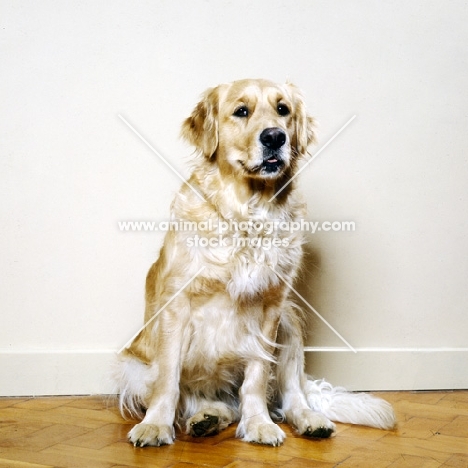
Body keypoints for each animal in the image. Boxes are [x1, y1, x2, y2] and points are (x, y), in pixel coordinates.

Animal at [116, 79, 394, 446]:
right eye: (241, 111)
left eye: (283, 109)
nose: (275, 137)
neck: (248, 214)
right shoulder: (177, 305)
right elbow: (168, 380)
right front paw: (156, 425)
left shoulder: (271, 307)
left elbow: (257, 377)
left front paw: (259, 423)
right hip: (132, 367)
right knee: (201, 399)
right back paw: (207, 417)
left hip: (290, 323)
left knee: (290, 394)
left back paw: (308, 419)